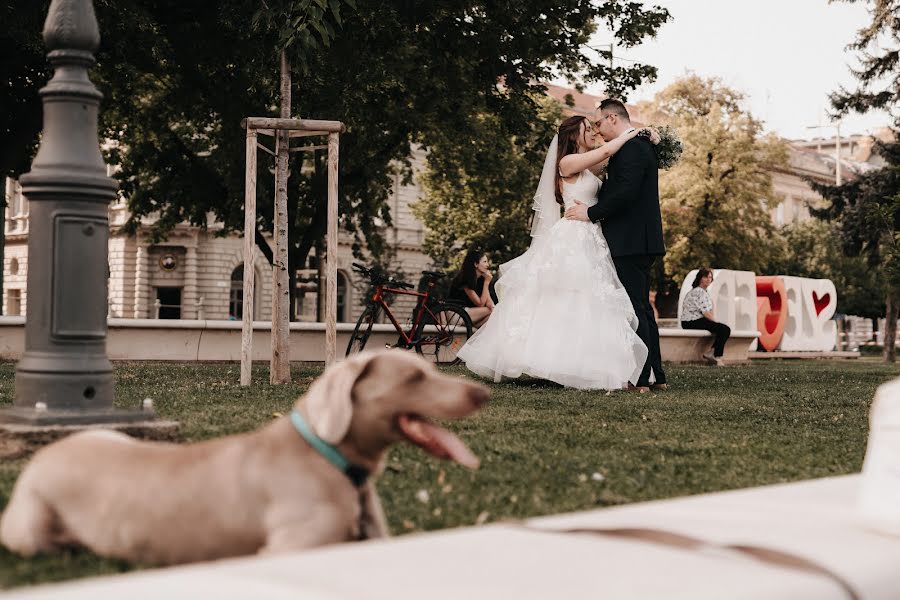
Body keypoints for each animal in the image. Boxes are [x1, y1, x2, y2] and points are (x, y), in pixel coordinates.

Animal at [0, 350, 488, 564]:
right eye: (413, 377)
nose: (482, 393)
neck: (331, 462)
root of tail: (48, 452)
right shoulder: (289, 548)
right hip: (30, 530)